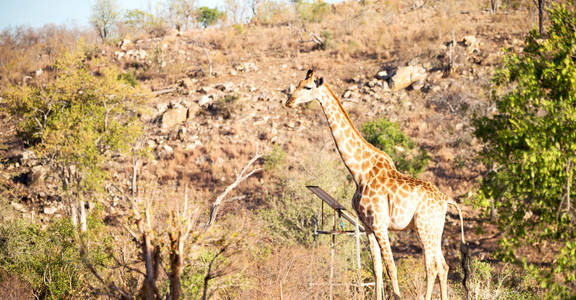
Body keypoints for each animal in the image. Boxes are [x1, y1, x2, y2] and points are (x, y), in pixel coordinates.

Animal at [284, 69, 468, 300]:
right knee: (443, 266)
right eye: (298, 83)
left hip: (424, 226)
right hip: (435, 229)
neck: (359, 171)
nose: (289, 102)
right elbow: (376, 269)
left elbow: (391, 268)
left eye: (307, 87)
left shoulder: (380, 223)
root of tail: (446, 200)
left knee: (432, 266)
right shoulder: (368, 226)